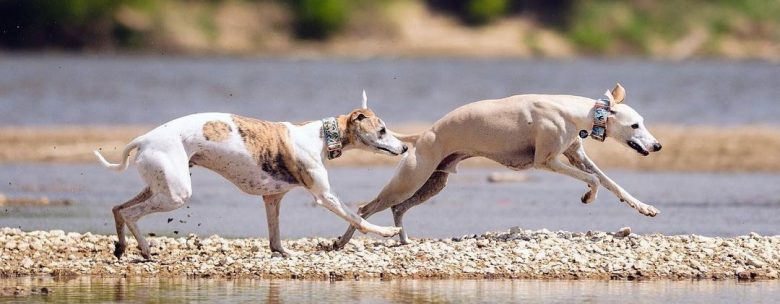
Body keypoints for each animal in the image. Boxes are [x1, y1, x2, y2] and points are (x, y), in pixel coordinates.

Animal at [94, 91, 406, 258]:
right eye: (382, 130)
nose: (403, 147)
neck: (321, 135)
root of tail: (143, 139)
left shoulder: (272, 198)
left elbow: (275, 237)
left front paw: (285, 253)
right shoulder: (325, 196)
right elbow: (357, 218)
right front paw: (388, 232)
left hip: (160, 186)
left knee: (118, 208)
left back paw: (121, 247)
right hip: (175, 194)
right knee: (131, 213)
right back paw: (145, 250)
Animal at [336, 83, 664, 249]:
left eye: (643, 122)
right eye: (635, 125)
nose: (658, 146)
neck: (573, 112)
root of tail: (421, 135)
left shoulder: (576, 156)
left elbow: (612, 183)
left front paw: (645, 207)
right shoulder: (547, 161)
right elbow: (594, 181)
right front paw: (587, 196)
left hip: (433, 182)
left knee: (398, 208)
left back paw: (403, 239)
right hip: (411, 179)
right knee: (366, 208)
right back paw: (342, 242)